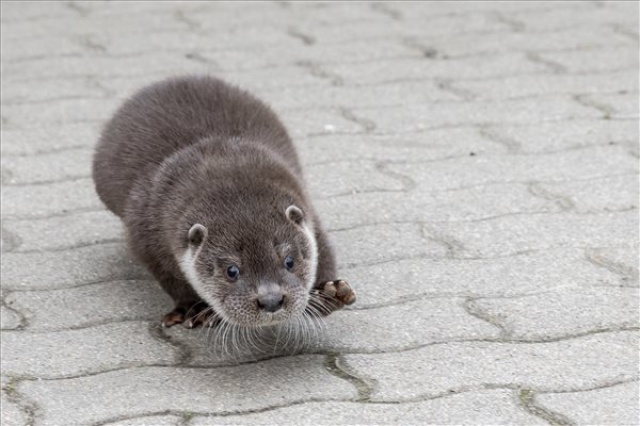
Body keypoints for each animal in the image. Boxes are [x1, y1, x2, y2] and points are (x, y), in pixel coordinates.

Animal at [92, 75, 356, 330]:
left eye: (290, 261)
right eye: (232, 271)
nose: (271, 300)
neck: (228, 169)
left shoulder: (305, 207)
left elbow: (322, 248)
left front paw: (329, 292)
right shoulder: (144, 232)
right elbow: (170, 276)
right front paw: (194, 308)